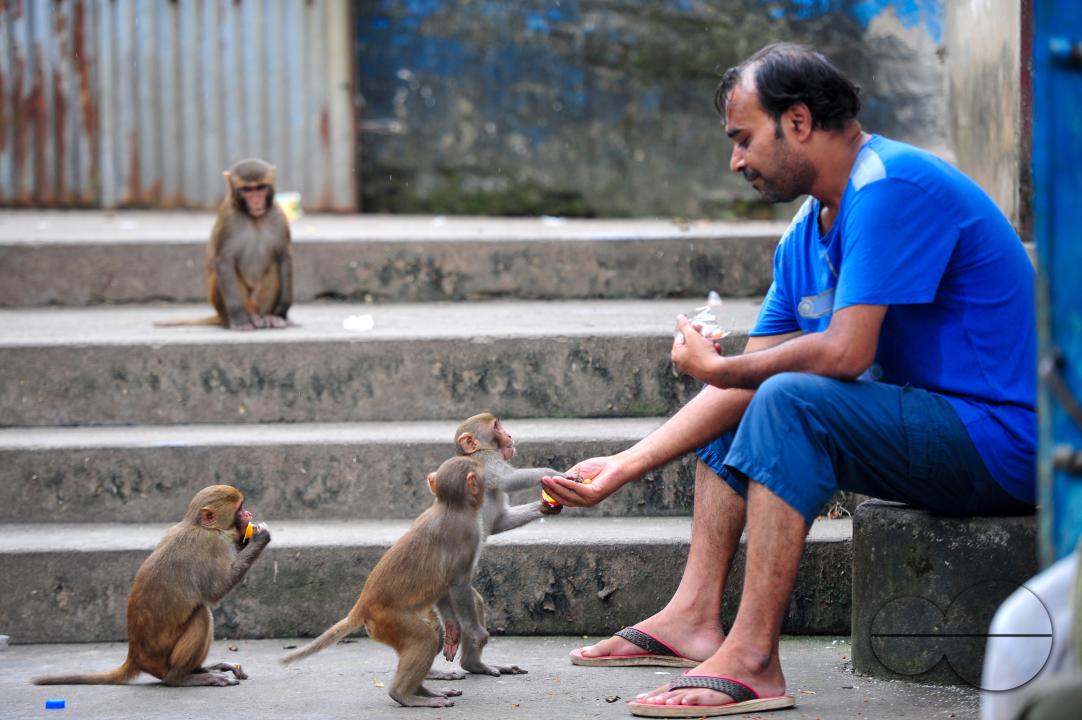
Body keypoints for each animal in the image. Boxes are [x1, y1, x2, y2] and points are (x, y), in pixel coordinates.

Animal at [33, 485, 271, 687]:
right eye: (240, 509)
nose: (249, 514)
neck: (198, 526)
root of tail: (135, 657)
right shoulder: (212, 544)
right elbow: (215, 591)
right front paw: (260, 538)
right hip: (163, 660)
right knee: (202, 613)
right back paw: (180, 678)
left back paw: (201, 669)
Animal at [156, 158, 293, 331]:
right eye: (247, 190)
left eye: (260, 188)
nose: (256, 201)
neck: (255, 219)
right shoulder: (229, 220)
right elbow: (224, 262)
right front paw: (240, 319)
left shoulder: (279, 218)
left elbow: (284, 258)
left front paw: (280, 312)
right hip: (226, 306)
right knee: (221, 274)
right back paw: (245, 318)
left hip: (257, 302)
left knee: (275, 267)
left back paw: (267, 317)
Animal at [281, 456, 486, 708]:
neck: (450, 505)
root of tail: (362, 605)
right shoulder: (468, 534)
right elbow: (458, 585)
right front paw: (477, 634)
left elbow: (446, 590)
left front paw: (454, 632)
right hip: (389, 620)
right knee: (425, 638)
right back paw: (404, 695)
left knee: (429, 635)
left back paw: (421, 690)